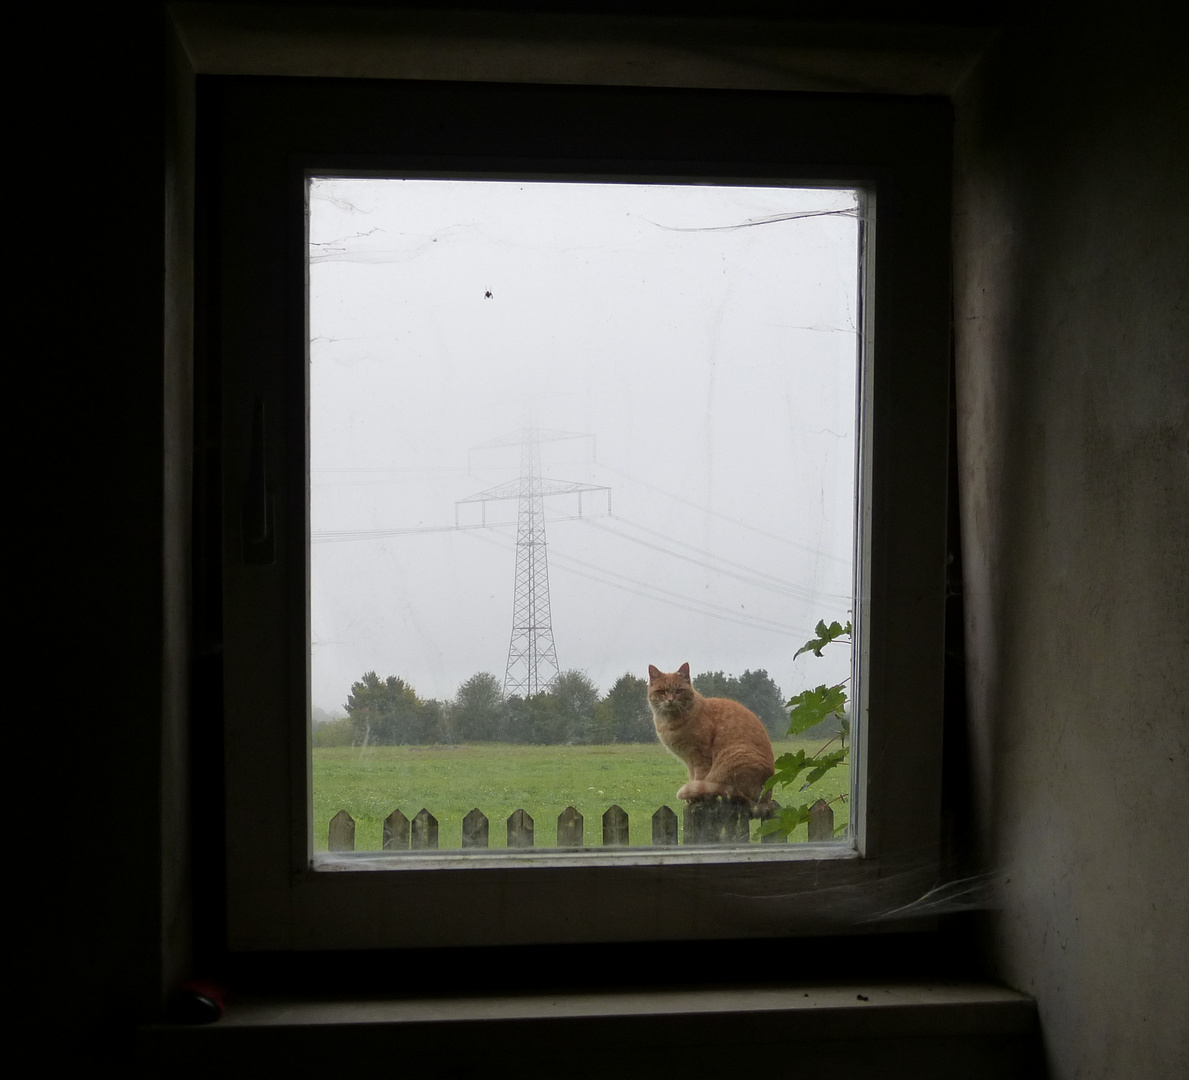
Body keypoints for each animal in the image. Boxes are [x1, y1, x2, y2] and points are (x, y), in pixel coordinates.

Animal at [646, 656, 775, 808]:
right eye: (661, 692)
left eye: (678, 691)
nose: (670, 700)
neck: (670, 722)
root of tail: (767, 796)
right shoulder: (690, 761)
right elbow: (693, 778)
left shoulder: (700, 757)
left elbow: (699, 778)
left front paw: (696, 797)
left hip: (733, 758)